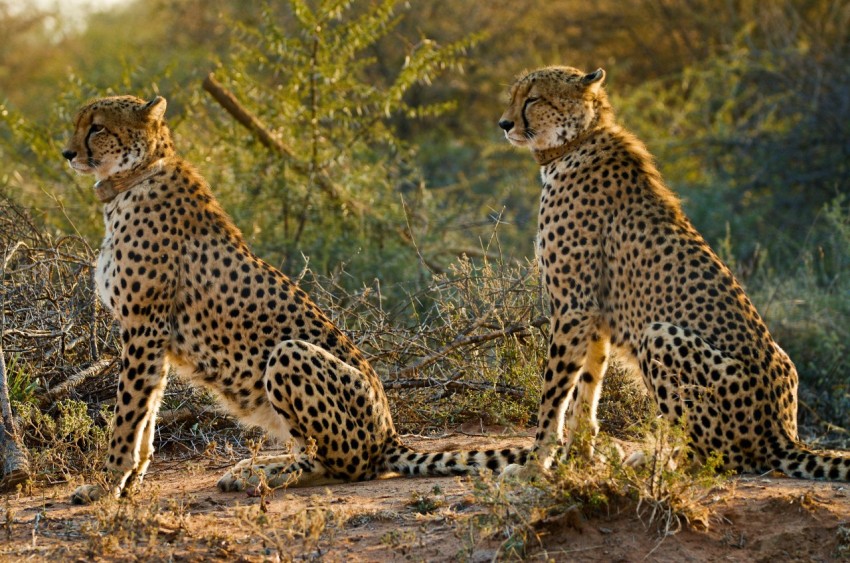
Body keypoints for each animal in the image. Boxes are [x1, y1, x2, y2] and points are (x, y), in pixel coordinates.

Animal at [61, 94, 528, 504]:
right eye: (78, 122)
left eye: (96, 127)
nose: (66, 153)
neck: (134, 176)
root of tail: (389, 435)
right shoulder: (152, 337)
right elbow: (146, 417)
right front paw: (129, 483)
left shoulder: (145, 326)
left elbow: (127, 416)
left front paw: (105, 485)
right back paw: (254, 467)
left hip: (290, 354)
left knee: (338, 464)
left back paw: (262, 472)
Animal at [497, 65, 849, 480]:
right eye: (514, 95)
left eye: (533, 98)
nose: (504, 124)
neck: (576, 142)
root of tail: (781, 433)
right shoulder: (596, 316)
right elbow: (587, 390)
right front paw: (576, 460)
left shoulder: (574, 306)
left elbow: (553, 395)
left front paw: (535, 466)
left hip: (660, 335)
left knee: (720, 458)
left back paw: (662, 464)